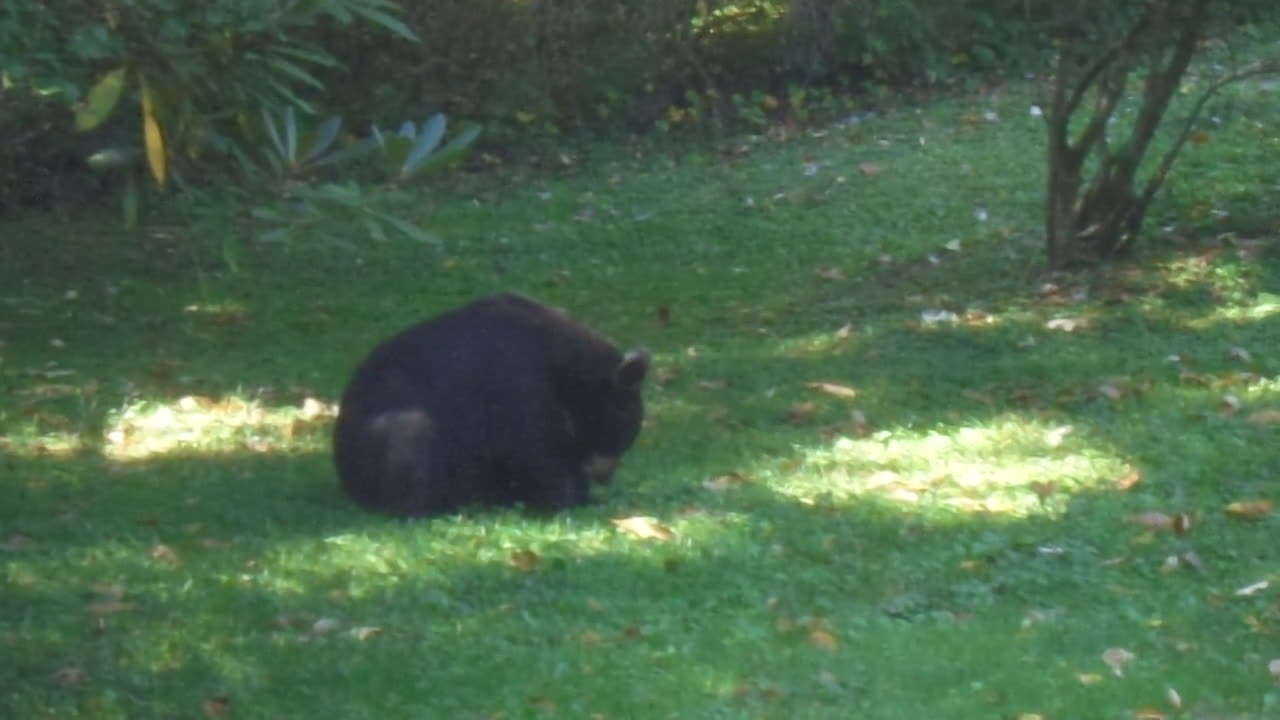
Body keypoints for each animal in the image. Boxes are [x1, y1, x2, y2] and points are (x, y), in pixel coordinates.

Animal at [332, 292, 650, 515]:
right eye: (624, 431)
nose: (606, 476)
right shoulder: (515, 383)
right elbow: (535, 448)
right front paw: (579, 499)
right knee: (410, 441)